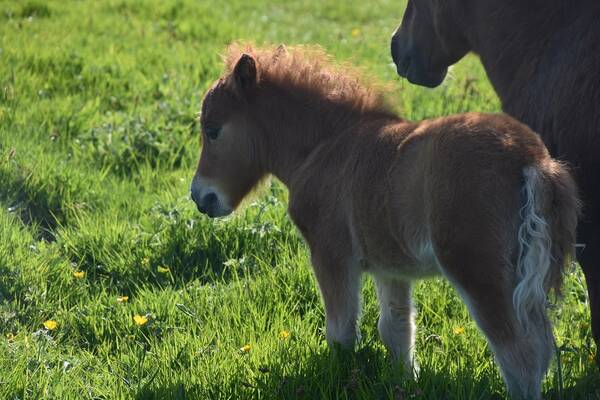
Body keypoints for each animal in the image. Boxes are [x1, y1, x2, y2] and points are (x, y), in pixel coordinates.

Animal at [190, 45, 580, 398]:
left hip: (478, 271)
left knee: (520, 354)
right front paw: (405, 384)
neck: (325, 147)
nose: (200, 197)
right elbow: (396, 329)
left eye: (212, 130)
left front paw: (342, 377)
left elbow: (342, 332)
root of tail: (532, 160)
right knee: (542, 344)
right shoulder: (389, 266)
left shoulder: (331, 254)